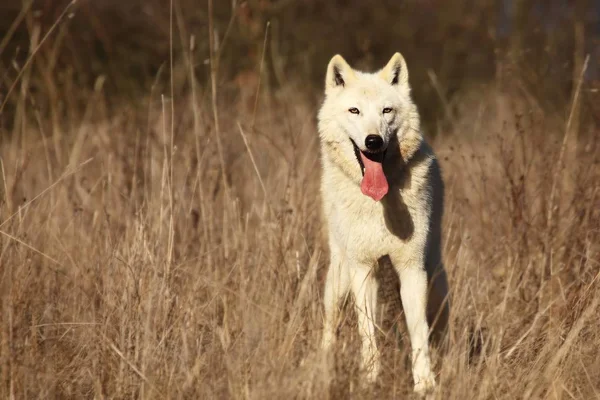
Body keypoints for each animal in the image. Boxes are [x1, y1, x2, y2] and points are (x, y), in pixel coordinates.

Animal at [318, 52, 450, 394]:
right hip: (341, 276)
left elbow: (419, 332)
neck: (379, 203)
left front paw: (425, 385)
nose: (373, 140)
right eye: (355, 110)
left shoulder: (412, 268)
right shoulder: (362, 268)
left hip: (436, 279)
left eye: (386, 111)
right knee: (331, 325)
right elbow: (367, 332)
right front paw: (369, 379)